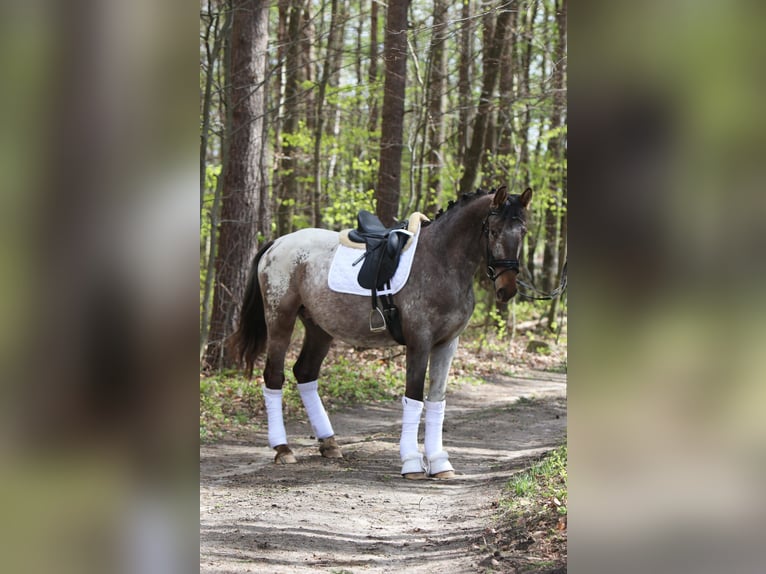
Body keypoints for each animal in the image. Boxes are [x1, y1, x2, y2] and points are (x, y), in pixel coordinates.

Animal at [234, 188, 536, 482]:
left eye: (523, 231)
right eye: (493, 231)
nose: (507, 288)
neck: (441, 259)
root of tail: (277, 244)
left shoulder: (447, 344)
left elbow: (436, 401)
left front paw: (440, 464)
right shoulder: (419, 343)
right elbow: (414, 398)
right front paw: (412, 463)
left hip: (320, 328)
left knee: (306, 373)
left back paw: (329, 443)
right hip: (280, 320)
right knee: (274, 376)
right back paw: (283, 448)